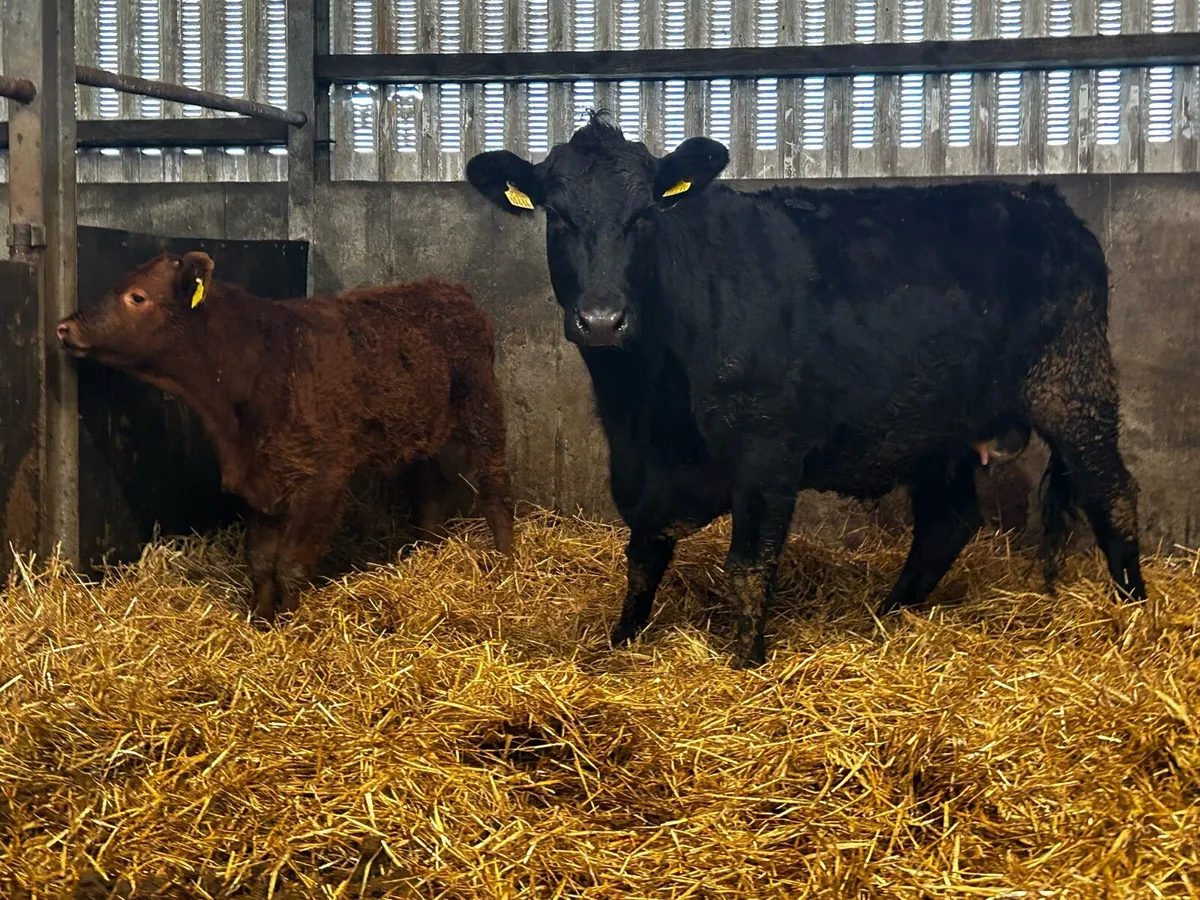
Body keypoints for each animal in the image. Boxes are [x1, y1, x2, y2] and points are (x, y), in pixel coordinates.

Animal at [57, 252, 514, 622]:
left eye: (137, 297)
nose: (64, 327)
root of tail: (450, 290)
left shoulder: (324, 478)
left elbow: (291, 562)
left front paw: (291, 621)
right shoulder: (258, 480)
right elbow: (261, 560)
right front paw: (259, 618)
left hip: (483, 409)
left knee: (495, 487)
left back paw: (506, 561)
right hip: (419, 433)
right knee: (431, 491)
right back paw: (426, 551)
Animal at [466, 112, 1146, 669]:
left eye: (646, 216)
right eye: (557, 215)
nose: (603, 319)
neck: (645, 398)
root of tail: (1046, 203)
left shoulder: (767, 449)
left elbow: (748, 568)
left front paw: (744, 665)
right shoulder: (643, 465)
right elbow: (642, 558)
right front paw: (618, 645)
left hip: (1073, 385)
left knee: (1112, 494)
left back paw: (1135, 615)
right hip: (938, 425)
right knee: (948, 522)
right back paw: (888, 616)